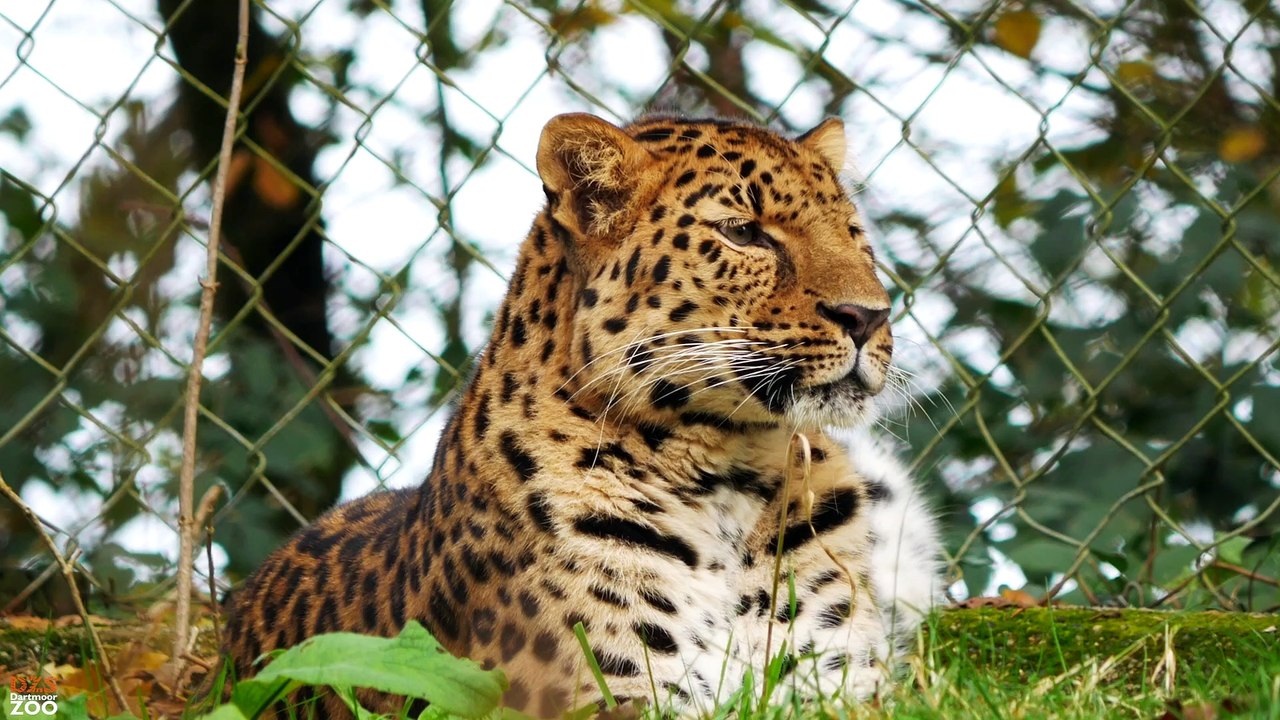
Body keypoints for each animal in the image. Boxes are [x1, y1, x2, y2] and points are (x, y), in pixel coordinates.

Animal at [220, 112, 943, 717]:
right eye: (743, 233)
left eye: (855, 237)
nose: (870, 316)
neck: (733, 473)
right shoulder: (611, 696)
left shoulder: (842, 686)